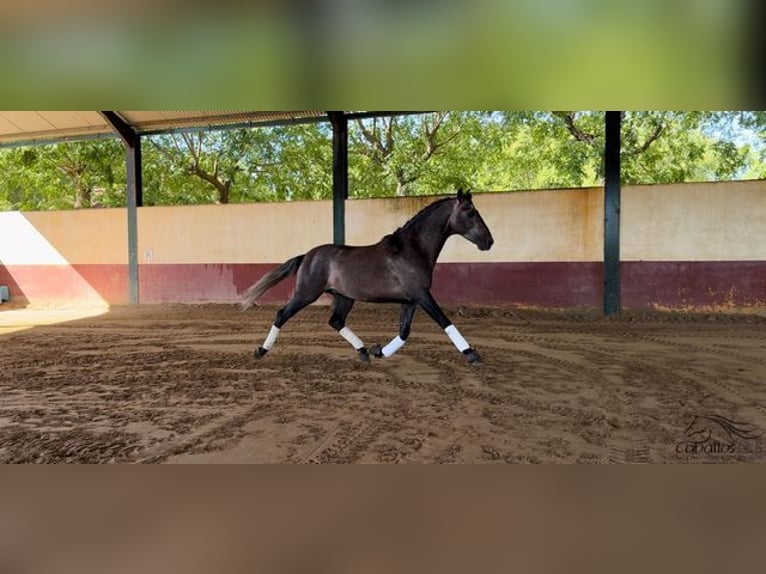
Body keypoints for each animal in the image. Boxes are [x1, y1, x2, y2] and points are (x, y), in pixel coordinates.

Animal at [243, 191, 500, 366]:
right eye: (470, 211)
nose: (489, 242)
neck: (412, 249)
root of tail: (307, 255)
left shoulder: (410, 301)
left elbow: (404, 332)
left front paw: (379, 351)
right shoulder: (422, 296)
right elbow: (444, 321)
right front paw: (472, 354)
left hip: (344, 297)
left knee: (336, 321)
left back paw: (364, 351)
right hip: (306, 294)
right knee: (281, 315)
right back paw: (260, 351)